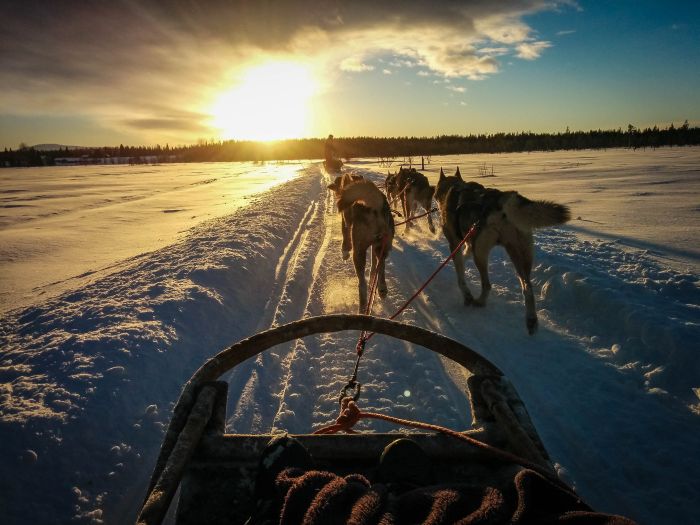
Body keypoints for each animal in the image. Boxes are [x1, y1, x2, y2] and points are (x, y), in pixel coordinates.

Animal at [328, 174, 394, 312]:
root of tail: (374, 204)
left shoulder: (346, 223)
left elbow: (345, 240)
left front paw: (345, 252)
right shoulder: (375, 246)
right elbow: (374, 265)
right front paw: (373, 278)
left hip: (359, 252)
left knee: (362, 284)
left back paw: (362, 308)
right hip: (382, 245)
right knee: (381, 265)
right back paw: (381, 288)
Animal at [434, 166, 572, 334]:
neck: (453, 187)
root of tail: (502, 199)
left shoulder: (456, 244)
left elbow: (461, 277)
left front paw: (467, 296)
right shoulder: (467, 243)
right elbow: (465, 255)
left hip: (481, 253)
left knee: (487, 285)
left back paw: (480, 302)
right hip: (518, 254)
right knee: (528, 288)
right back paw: (531, 320)